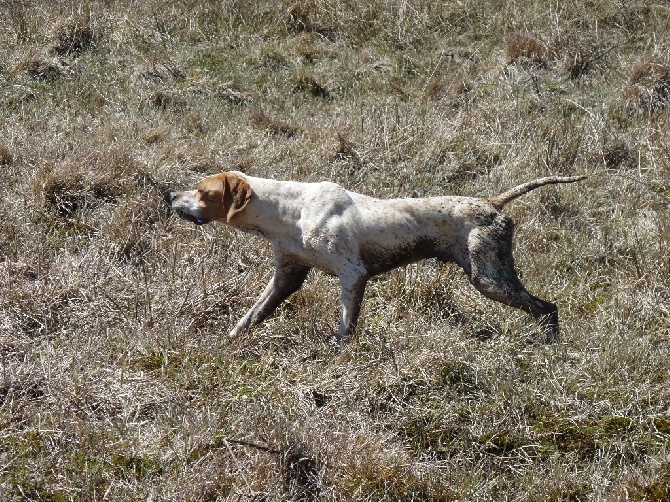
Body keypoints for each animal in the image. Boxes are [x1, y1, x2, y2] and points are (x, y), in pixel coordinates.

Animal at [172, 171, 588, 344]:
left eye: (202, 191)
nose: (169, 196)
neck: (290, 210)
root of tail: (491, 202)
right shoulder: (286, 276)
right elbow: (249, 318)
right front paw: (228, 343)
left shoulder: (353, 276)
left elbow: (345, 330)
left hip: (490, 279)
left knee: (547, 307)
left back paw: (549, 344)